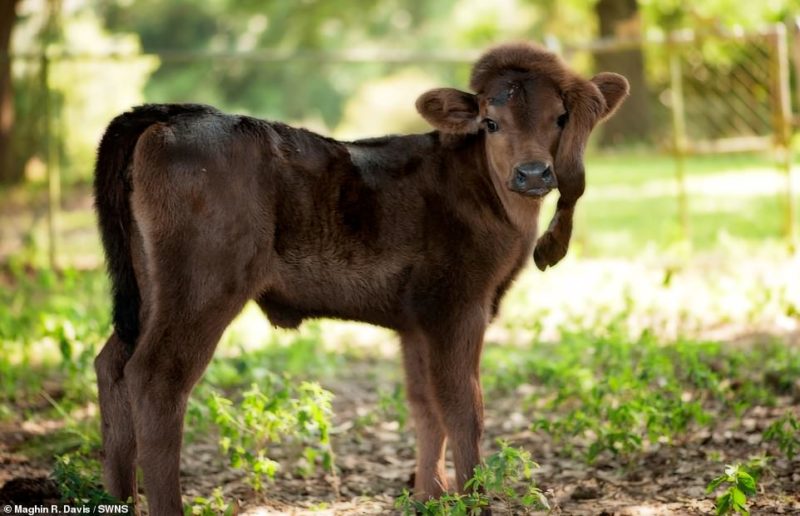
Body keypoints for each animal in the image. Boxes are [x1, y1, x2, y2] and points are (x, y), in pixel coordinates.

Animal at [94, 42, 628, 512]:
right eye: (490, 123)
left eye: (559, 118)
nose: (534, 173)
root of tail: (174, 115)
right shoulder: (457, 305)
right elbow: (464, 408)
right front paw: (474, 500)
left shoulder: (416, 322)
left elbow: (425, 406)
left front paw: (429, 498)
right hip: (203, 285)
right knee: (157, 378)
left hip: (150, 287)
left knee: (112, 364)